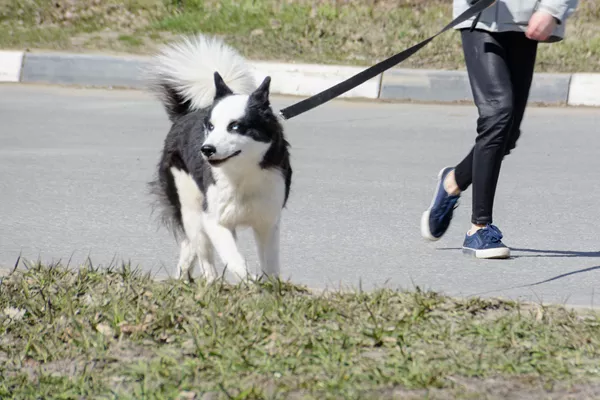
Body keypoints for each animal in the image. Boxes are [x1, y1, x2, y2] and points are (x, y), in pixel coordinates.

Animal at [148, 35, 292, 282]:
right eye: (211, 126)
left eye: (235, 126)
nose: (206, 149)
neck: (243, 174)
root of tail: (184, 115)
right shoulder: (214, 221)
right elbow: (235, 259)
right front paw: (248, 282)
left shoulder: (268, 222)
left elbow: (270, 266)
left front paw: (269, 287)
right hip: (191, 208)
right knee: (203, 254)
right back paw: (211, 282)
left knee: (190, 247)